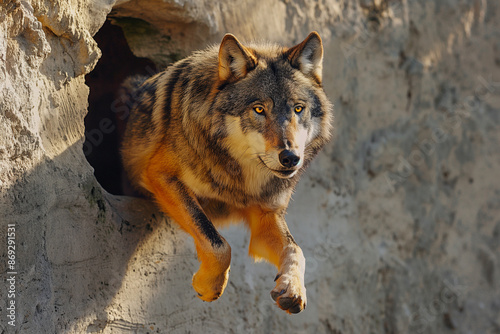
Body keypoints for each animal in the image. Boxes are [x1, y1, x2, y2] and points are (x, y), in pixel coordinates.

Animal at [120, 31, 332, 314]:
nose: (290, 158)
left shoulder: (266, 215)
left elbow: (295, 250)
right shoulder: (161, 175)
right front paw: (209, 286)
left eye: (298, 108)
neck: (241, 182)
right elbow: (218, 243)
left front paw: (292, 288)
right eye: (259, 109)